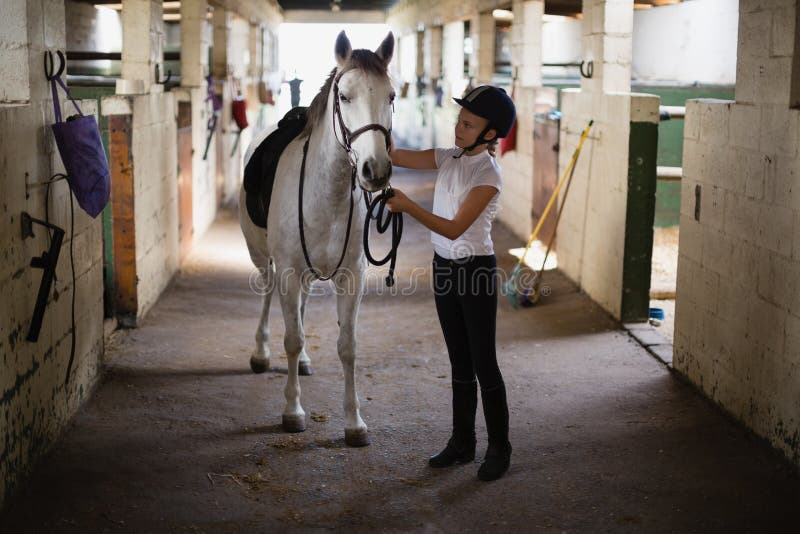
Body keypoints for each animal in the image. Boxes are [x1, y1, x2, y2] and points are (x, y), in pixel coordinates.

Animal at [241, 32, 396, 448]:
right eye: (344, 95)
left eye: (391, 95)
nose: (376, 171)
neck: (327, 193)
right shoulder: (288, 272)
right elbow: (291, 339)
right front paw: (293, 412)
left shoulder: (351, 277)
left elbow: (347, 346)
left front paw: (354, 422)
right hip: (263, 258)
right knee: (267, 295)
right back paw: (260, 353)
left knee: (302, 306)